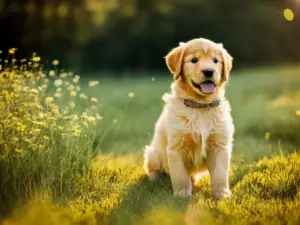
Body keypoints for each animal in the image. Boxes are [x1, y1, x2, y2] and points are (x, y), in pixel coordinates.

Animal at [143, 37, 234, 200]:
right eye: (194, 60)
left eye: (215, 61)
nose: (209, 71)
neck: (200, 106)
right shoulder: (176, 147)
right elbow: (180, 176)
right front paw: (182, 195)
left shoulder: (220, 145)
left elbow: (220, 174)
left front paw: (222, 195)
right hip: (153, 152)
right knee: (151, 167)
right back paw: (154, 179)